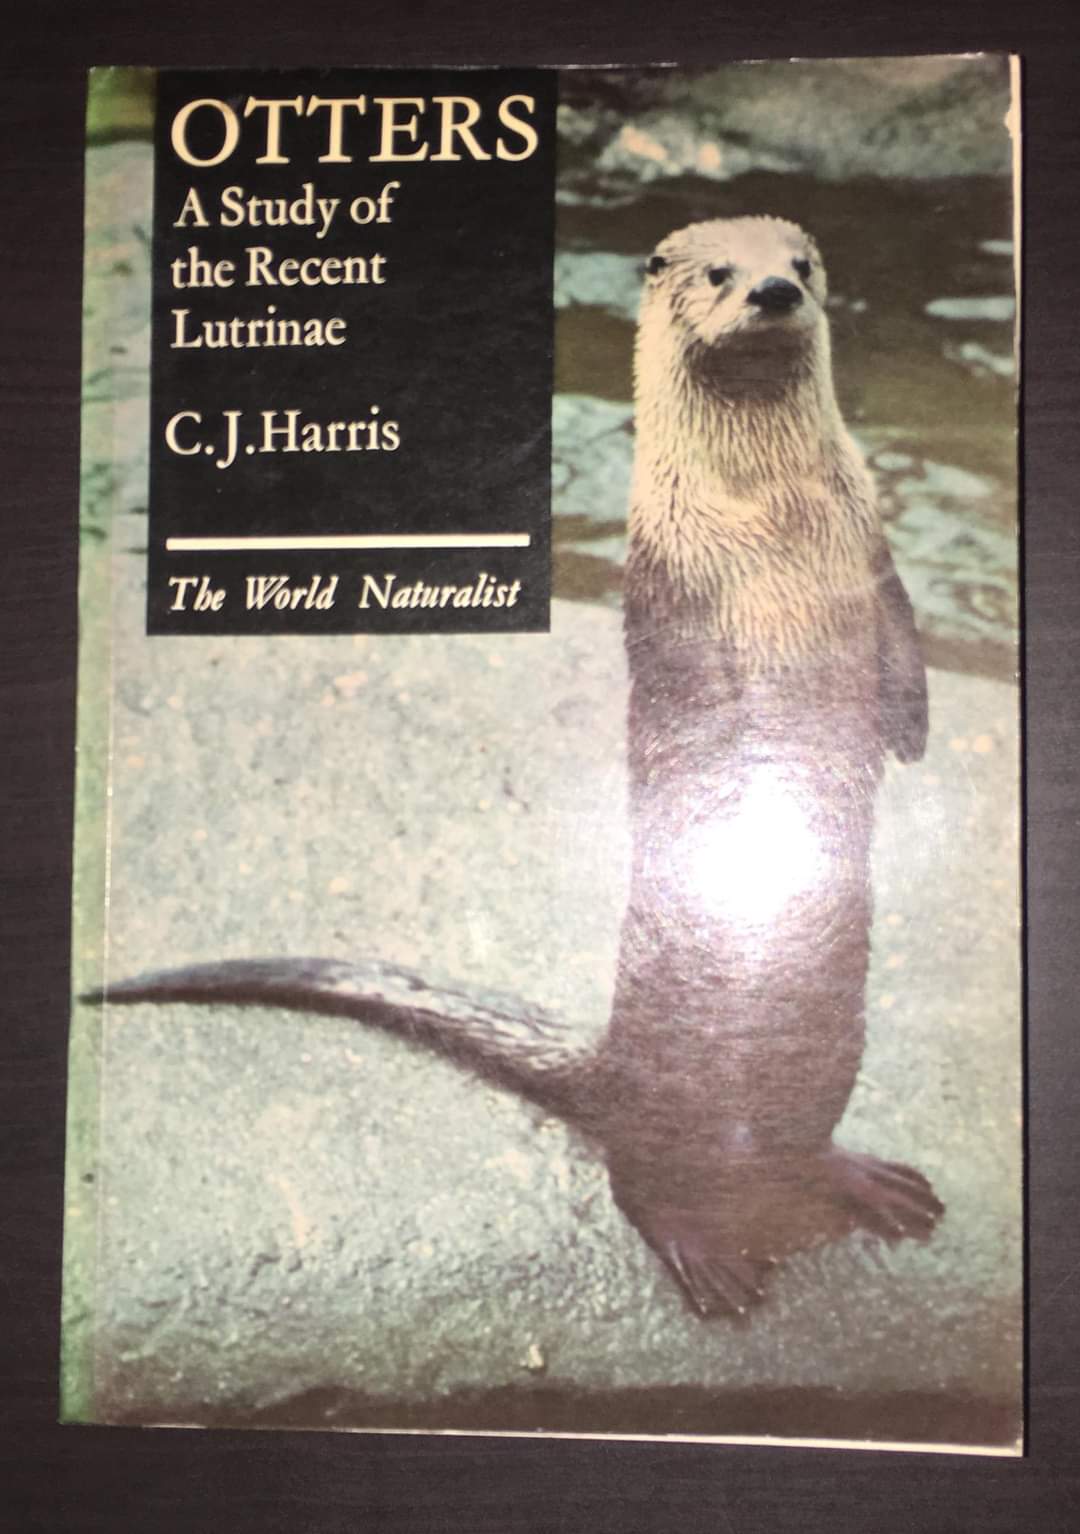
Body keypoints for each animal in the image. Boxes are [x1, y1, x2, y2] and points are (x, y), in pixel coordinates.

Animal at [99, 216, 943, 1317]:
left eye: (799, 265)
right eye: (720, 271)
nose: (771, 290)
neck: (773, 518)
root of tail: (609, 1062)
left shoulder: (869, 537)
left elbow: (902, 630)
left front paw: (910, 732)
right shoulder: (672, 579)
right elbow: (698, 693)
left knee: (798, 1150)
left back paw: (867, 1180)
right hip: (671, 1100)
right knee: (637, 1176)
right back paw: (703, 1249)